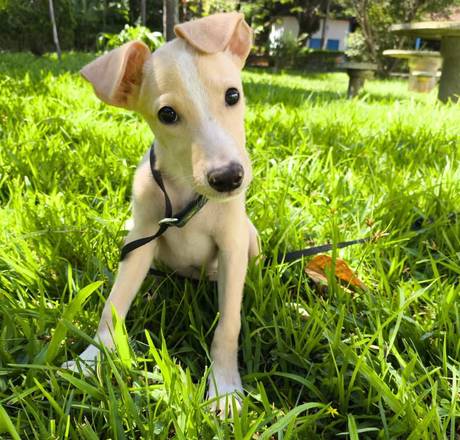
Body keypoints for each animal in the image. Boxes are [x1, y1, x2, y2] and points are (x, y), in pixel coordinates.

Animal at [62, 12, 259, 414]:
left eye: (233, 95)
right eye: (167, 114)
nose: (228, 178)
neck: (187, 193)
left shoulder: (232, 246)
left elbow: (228, 324)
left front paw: (224, 388)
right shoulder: (141, 238)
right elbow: (113, 305)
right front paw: (93, 358)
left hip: (250, 238)